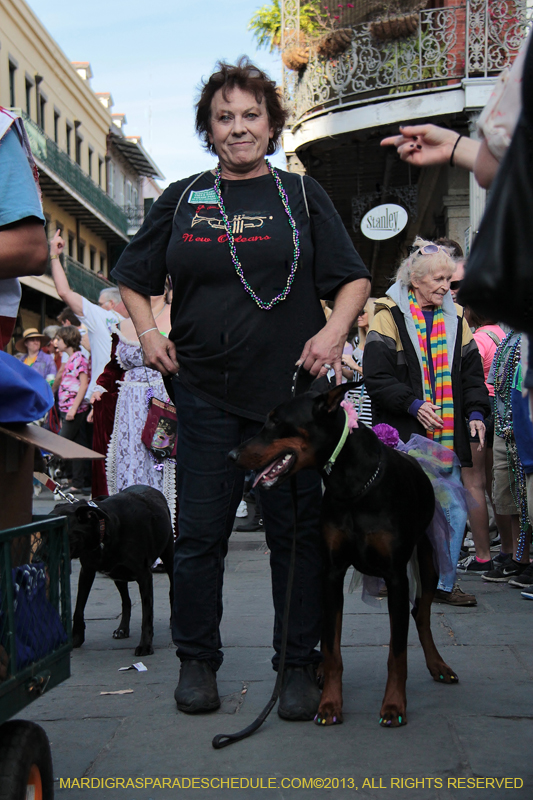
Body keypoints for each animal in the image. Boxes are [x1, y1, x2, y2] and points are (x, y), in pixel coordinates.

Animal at [53, 484, 172, 652]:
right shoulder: (87, 571)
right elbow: (78, 608)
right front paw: (76, 638)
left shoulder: (145, 576)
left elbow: (147, 613)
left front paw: (145, 645)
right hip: (117, 575)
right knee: (126, 601)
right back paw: (123, 629)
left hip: (169, 553)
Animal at [229, 384, 458, 728]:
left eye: (275, 421)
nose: (232, 455)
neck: (351, 484)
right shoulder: (332, 571)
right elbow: (332, 646)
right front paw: (329, 705)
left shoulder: (395, 577)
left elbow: (397, 652)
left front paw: (394, 705)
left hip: (428, 559)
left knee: (421, 612)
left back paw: (438, 664)